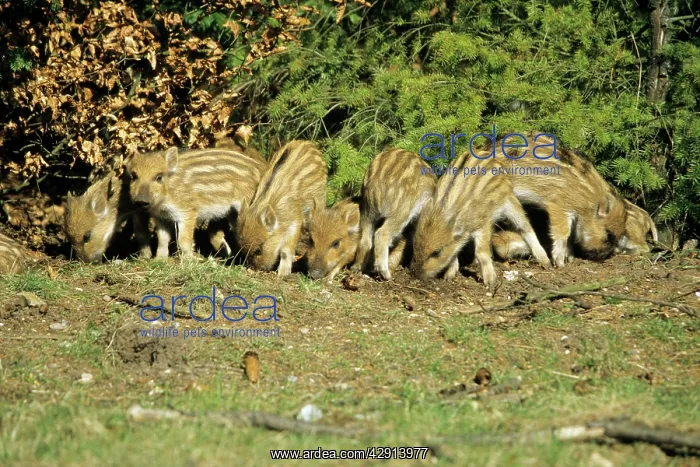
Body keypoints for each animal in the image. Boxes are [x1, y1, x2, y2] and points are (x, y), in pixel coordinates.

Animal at [125, 147, 267, 258]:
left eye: (159, 177)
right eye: (134, 176)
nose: (141, 201)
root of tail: (261, 169)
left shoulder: (187, 212)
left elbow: (183, 240)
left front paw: (191, 260)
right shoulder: (162, 217)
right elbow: (163, 239)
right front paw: (159, 260)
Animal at [236, 140, 327, 276]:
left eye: (259, 250)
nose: (257, 268)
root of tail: (307, 143)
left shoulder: (295, 221)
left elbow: (286, 249)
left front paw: (283, 274)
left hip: (320, 198)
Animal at [350, 149, 436, 280]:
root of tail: (376, 184)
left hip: (367, 210)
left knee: (365, 240)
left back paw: (357, 268)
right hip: (401, 211)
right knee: (381, 234)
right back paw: (386, 275)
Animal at [411, 151, 551, 291]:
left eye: (437, 252)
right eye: (415, 245)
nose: (416, 275)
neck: (440, 213)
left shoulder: (483, 224)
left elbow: (481, 252)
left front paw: (490, 282)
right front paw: (449, 276)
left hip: (510, 203)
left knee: (526, 228)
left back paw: (545, 261)